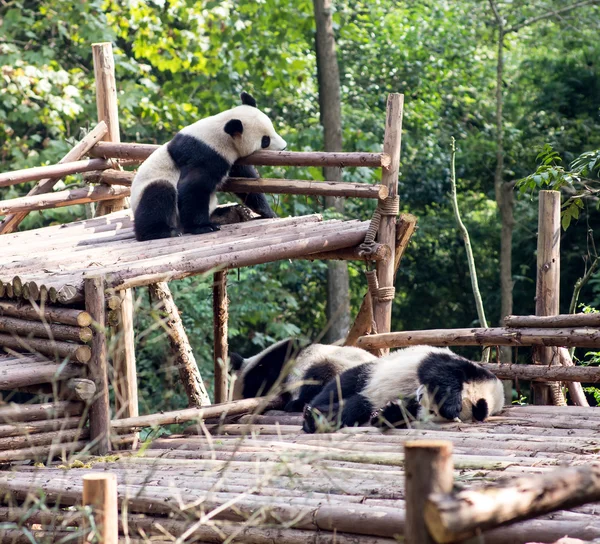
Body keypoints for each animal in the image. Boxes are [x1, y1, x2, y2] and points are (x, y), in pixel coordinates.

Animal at [129, 92, 288, 241]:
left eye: (273, 129)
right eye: (265, 140)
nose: (284, 147)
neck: (221, 132)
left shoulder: (230, 158)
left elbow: (247, 181)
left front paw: (268, 212)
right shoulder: (204, 154)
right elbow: (193, 186)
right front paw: (203, 227)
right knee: (159, 193)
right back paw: (161, 231)